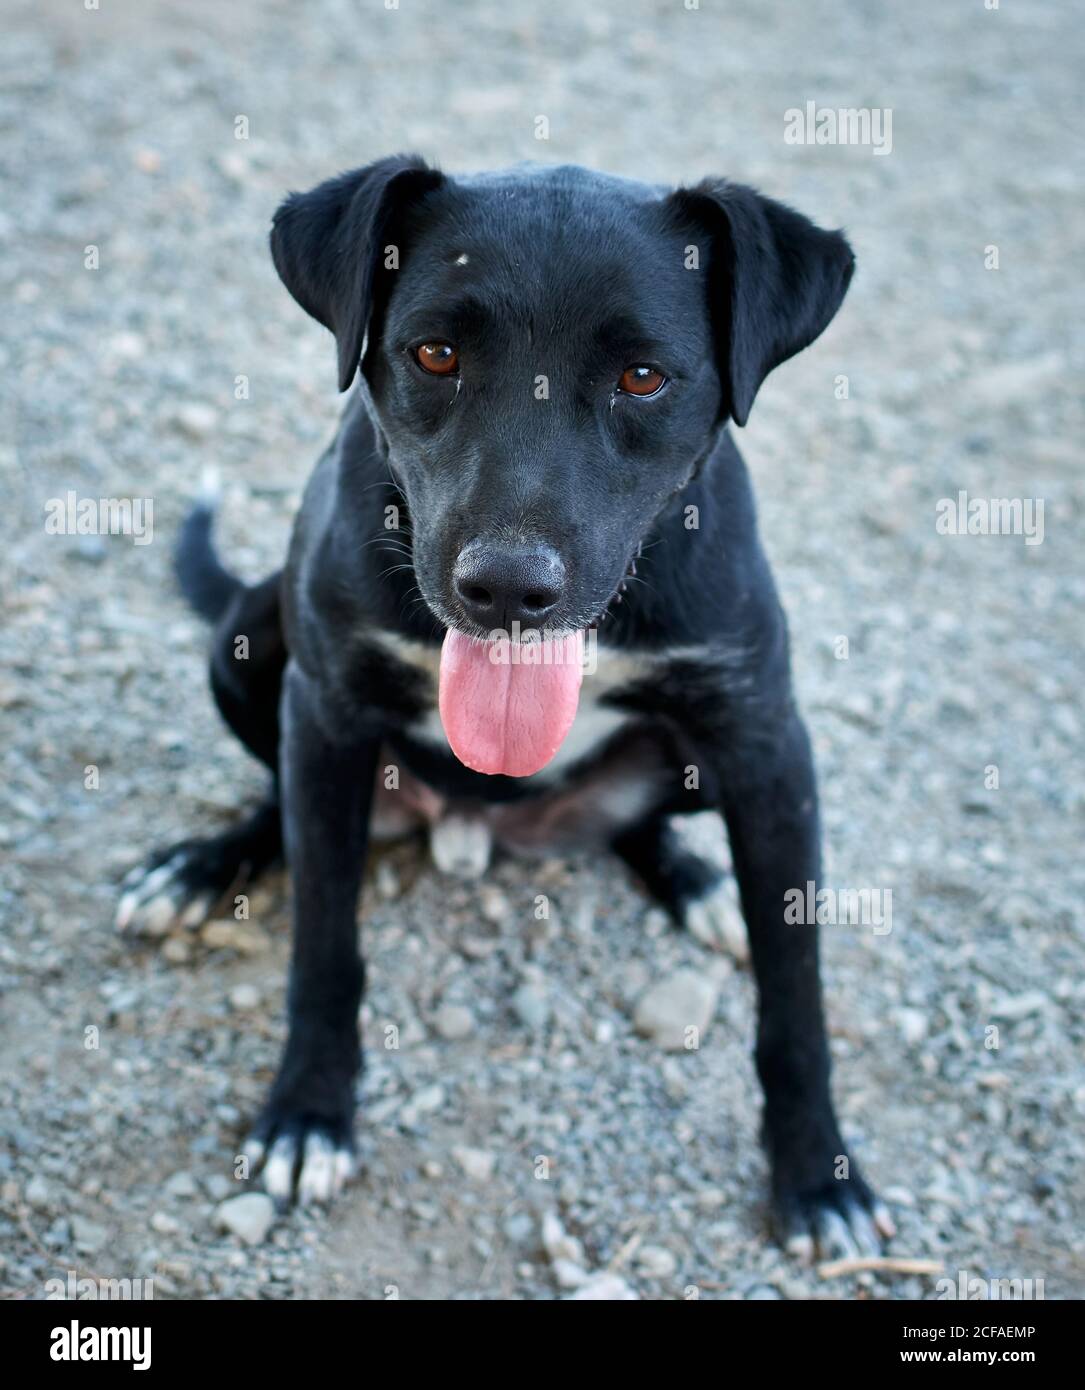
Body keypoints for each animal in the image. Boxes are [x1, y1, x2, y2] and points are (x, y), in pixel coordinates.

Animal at [122, 154, 894, 1262]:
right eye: (434, 353)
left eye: (643, 377)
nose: (506, 589)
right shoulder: (326, 711)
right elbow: (323, 943)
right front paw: (308, 1112)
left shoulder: (765, 745)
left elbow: (795, 998)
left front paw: (816, 1172)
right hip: (251, 636)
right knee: (281, 800)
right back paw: (194, 867)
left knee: (643, 823)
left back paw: (697, 879)